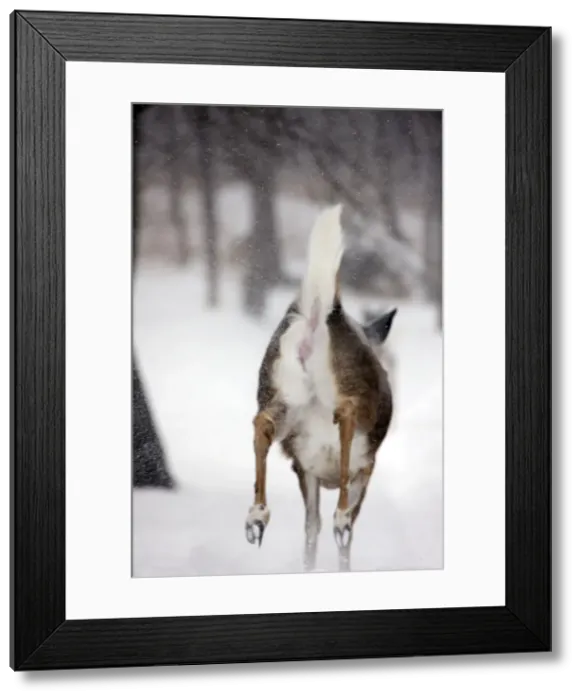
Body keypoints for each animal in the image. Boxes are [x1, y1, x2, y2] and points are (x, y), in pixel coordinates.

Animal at [244, 204, 397, 573]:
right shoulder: (363, 469)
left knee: (262, 421)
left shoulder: (304, 467)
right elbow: (341, 532)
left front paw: (309, 568)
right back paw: (338, 516)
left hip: (279, 391)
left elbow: (310, 527)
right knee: (346, 414)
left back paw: (256, 516)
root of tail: (321, 315)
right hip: (354, 406)